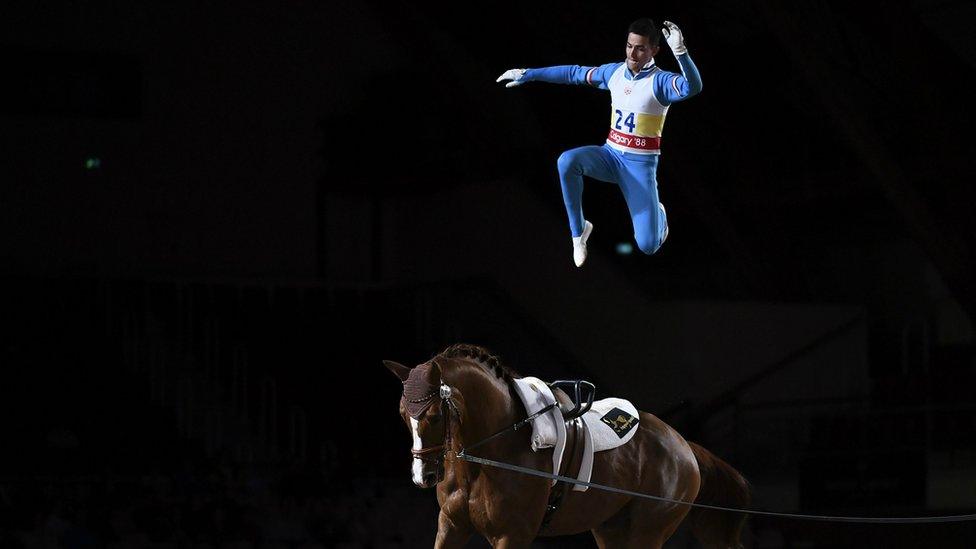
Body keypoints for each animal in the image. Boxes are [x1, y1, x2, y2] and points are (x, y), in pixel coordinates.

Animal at [386, 342, 752, 548]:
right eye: (403, 414)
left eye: (435, 416)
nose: (422, 476)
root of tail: (684, 446)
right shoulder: (452, 527)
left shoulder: (512, 535)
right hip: (612, 531)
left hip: (647, 532)